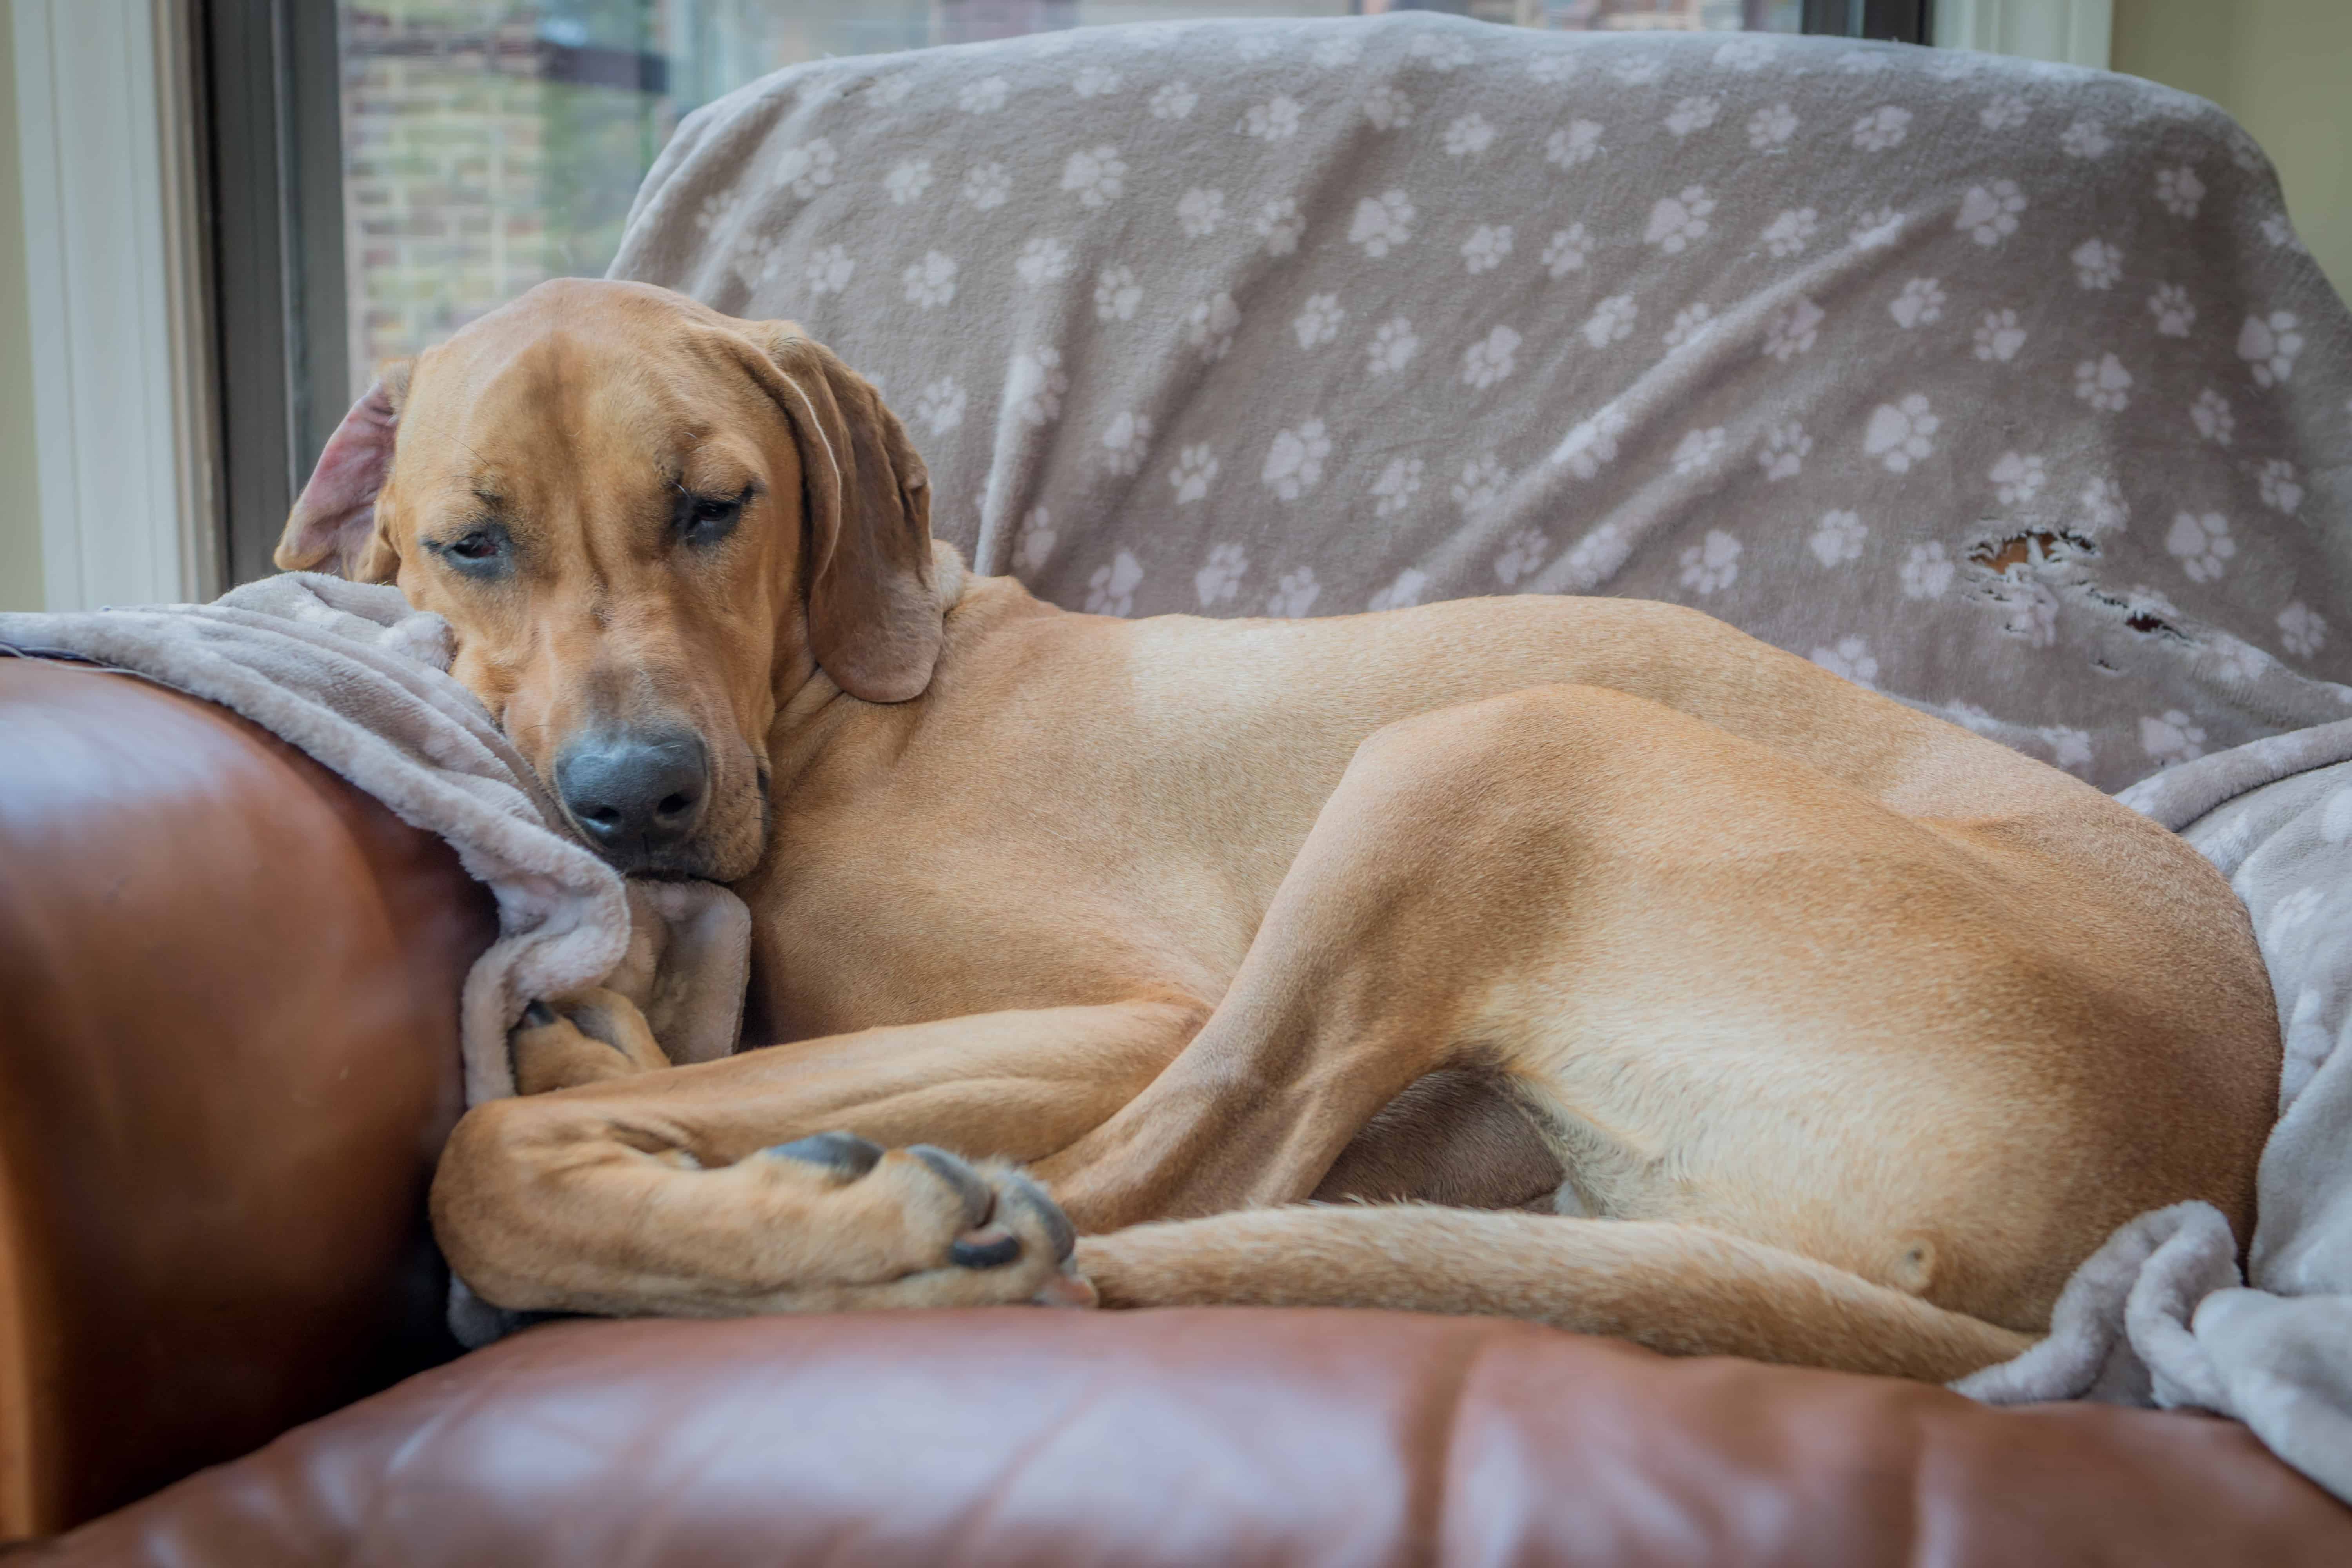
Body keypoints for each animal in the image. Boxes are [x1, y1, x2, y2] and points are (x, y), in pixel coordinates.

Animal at [275, 276, 2277, 1382]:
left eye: (716, 506)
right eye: (469, 543)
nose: (636, 802)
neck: (840, 702)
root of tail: (2181, 1183)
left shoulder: (1118, 1006)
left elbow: (488, 1156)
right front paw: (621, 1025)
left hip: (1483, 750)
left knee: (1167, 1180)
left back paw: (894, 1223)